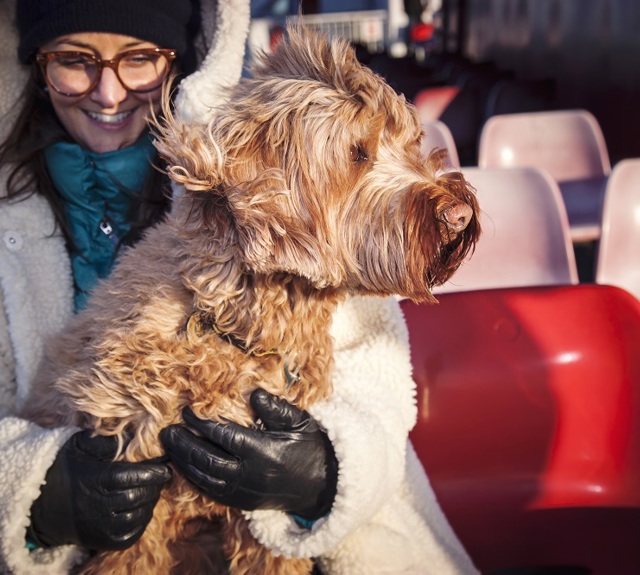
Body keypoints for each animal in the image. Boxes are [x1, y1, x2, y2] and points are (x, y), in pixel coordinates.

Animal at [23, 23, 480, 575]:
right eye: (358, 153)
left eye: (412, 143)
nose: (459, 213)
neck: (239, 322)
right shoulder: (134, 467)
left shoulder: (259, 496)